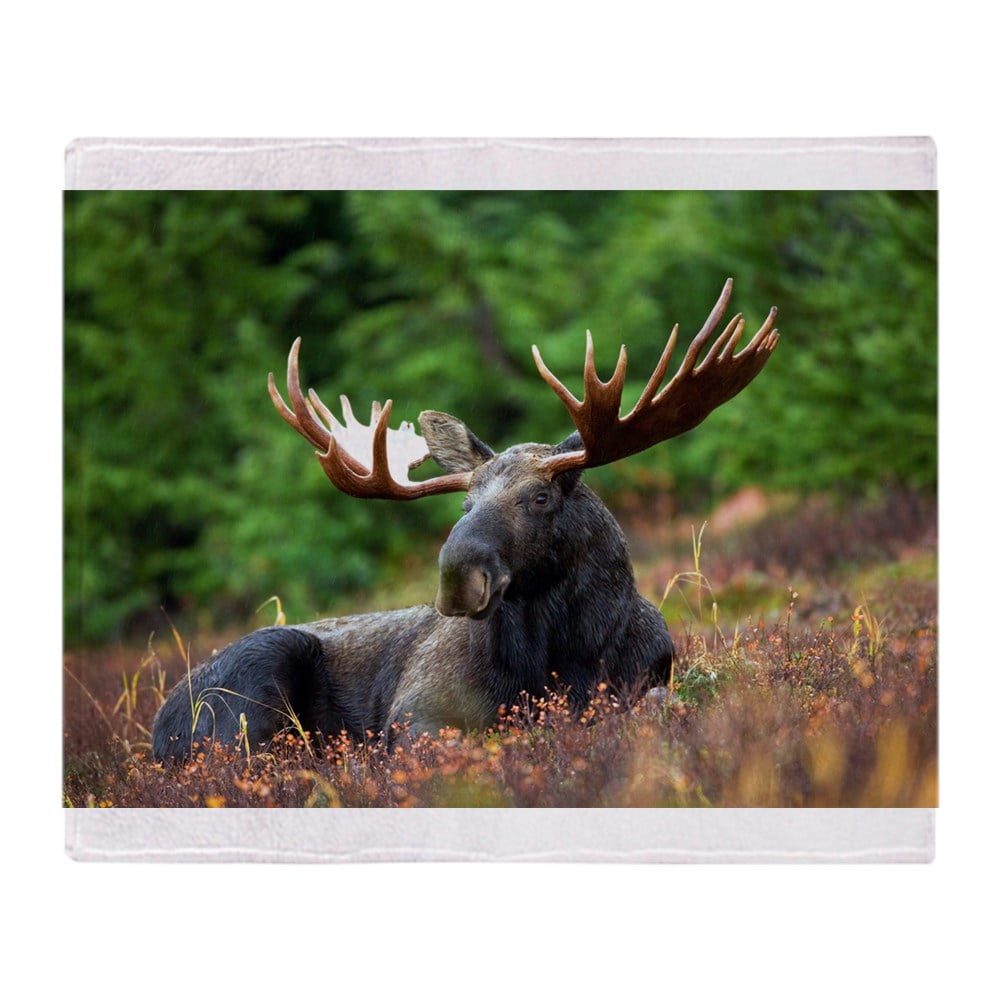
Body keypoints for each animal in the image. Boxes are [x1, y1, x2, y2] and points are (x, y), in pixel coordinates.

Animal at [151, 279, 779, 762]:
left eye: (540, 497)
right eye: (465, 504)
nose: (457, 577)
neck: (566, 656)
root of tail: (158, 728)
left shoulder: (649, 679)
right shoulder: (416, 714)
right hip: (254, 684)